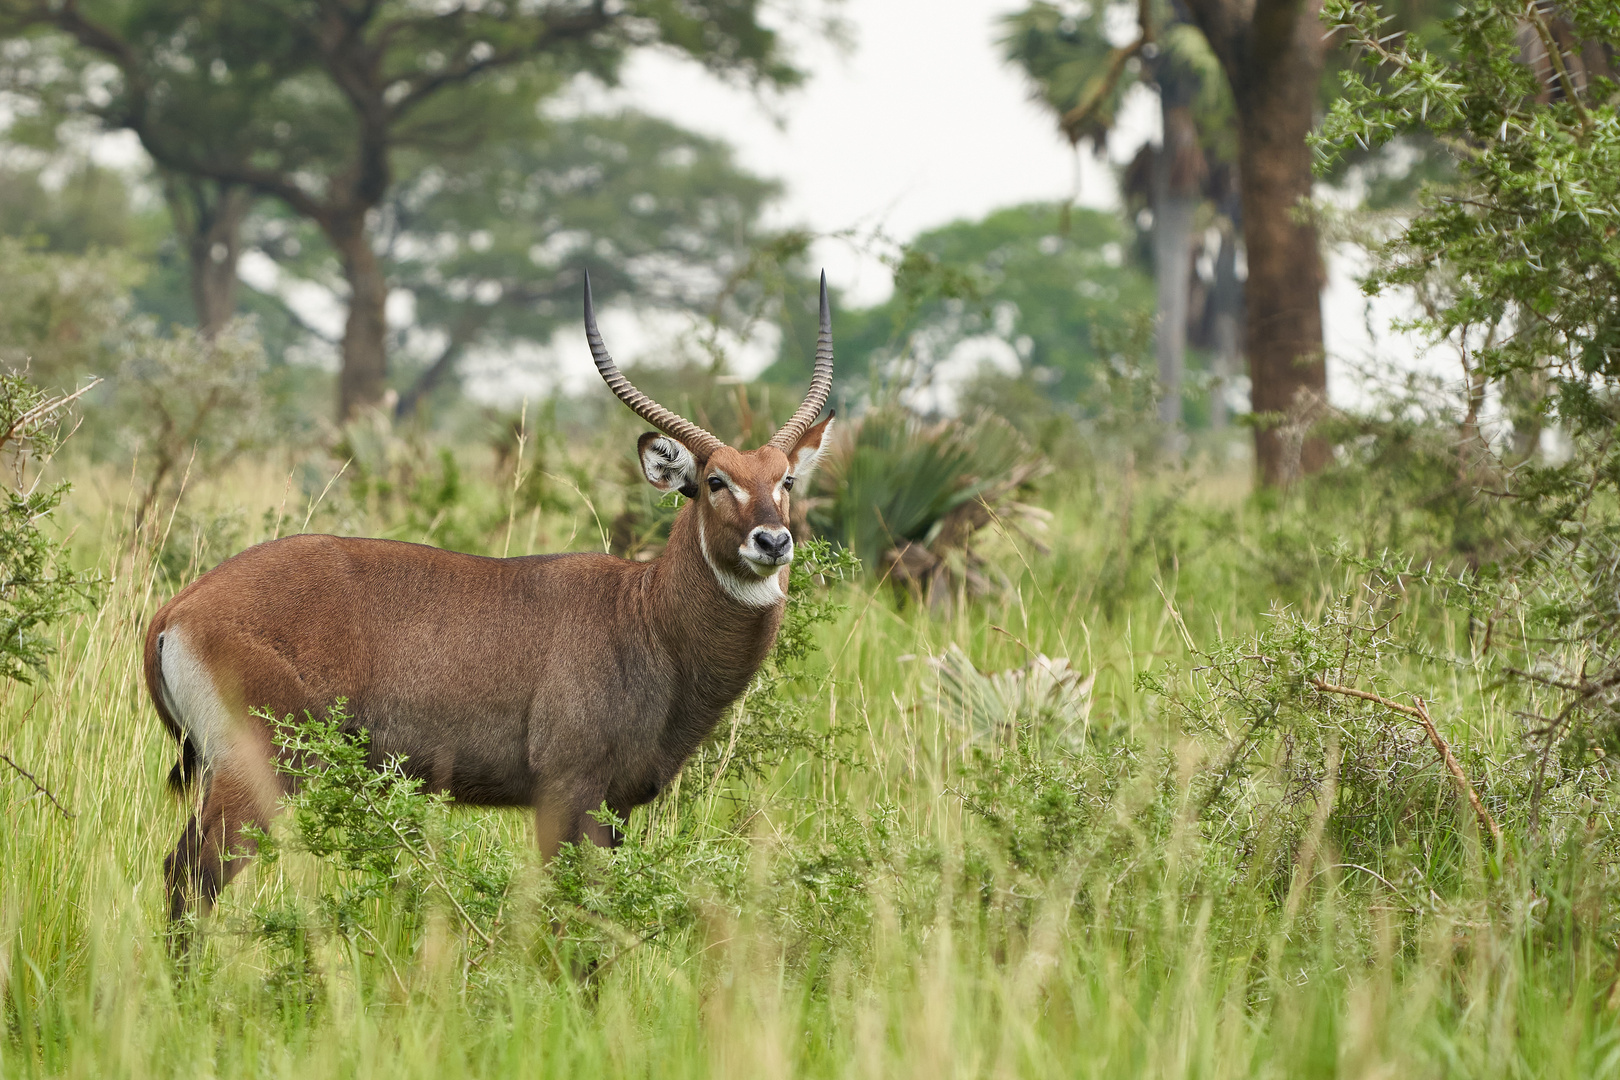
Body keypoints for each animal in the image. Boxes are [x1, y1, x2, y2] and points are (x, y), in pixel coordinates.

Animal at [149, 270, 835, 919]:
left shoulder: (616, 808)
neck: (646, 616)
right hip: (260, 771)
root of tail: (177, 610)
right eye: (715, 480)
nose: (773, 541)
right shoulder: (566, 792)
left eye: (786, 480)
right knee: (191, 873)